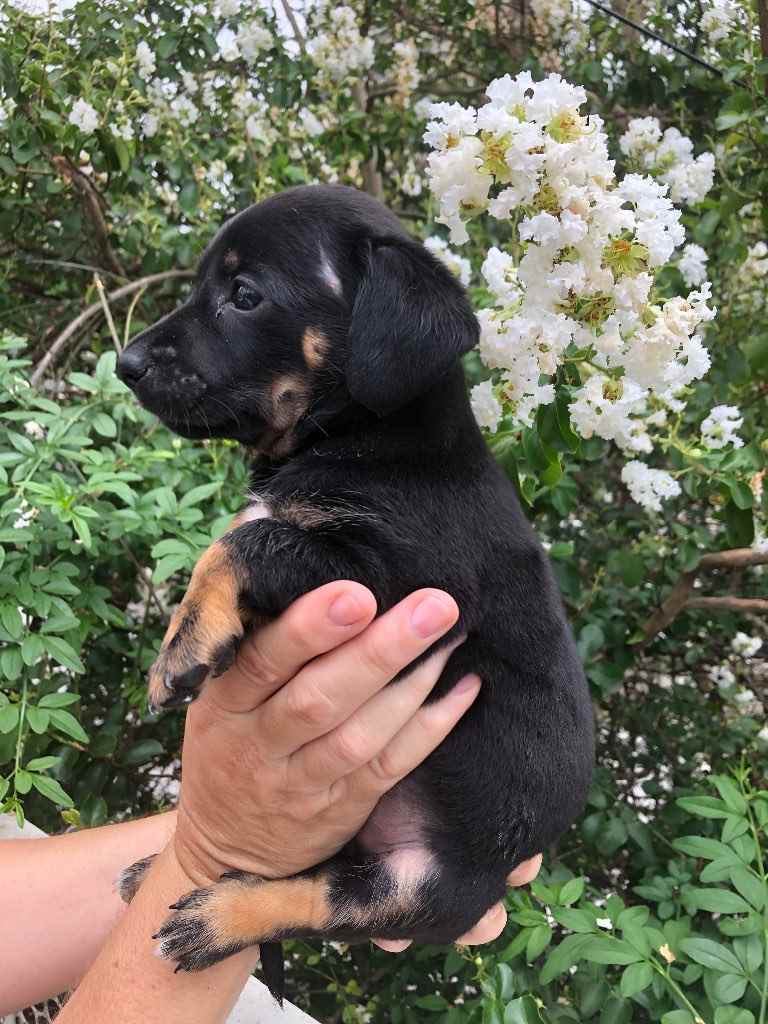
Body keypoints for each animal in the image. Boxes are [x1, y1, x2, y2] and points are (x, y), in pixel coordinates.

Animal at [116, 184, 594, 1001]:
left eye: (245, 296)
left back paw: (212, 921)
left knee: (321, 901)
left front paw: (180, 648)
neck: (370, 435)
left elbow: (241, 543)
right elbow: (244, 536)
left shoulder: (389, 580)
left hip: (427, 887)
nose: (126, 364)